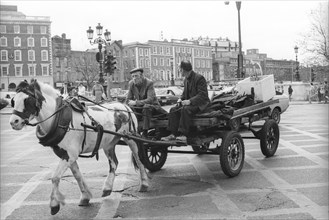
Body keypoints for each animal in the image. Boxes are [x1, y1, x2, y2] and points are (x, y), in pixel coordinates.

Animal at [9, 79, 148, 215]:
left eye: (28, 100)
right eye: (13, 100)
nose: (13, 122)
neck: (59, 118)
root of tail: (125, 106)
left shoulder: (70, 155)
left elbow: (55, 178)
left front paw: (54, 204)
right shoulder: (66, 155)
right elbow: (77, 175)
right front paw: (85, 196)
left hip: (131, 139)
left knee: (139, 160)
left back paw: (144, 184)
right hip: (108, 143)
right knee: (114, 163)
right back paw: (107, 187)